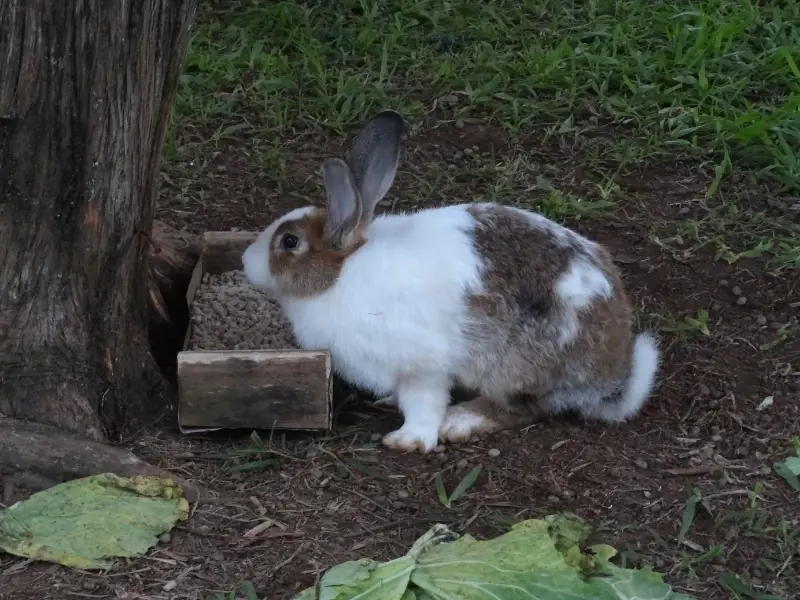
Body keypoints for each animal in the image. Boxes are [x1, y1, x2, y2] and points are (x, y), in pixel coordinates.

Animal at [241, 109, 660, 454]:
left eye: (289, 242)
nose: (246, 261)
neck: (339, 275)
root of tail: (615, 375)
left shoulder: (422, 363)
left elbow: (423, 402)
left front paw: (409, 440)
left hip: (512, 366)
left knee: (525, 409)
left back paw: (462, 421)